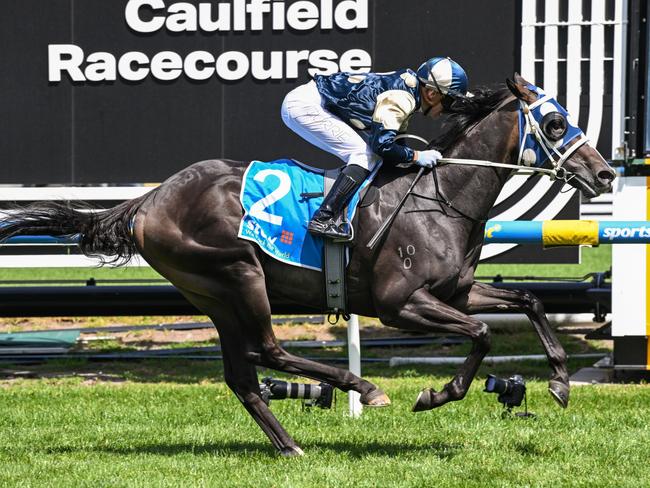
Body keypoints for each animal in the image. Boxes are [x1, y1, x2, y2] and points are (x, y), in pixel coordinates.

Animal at [1, 74, 612, 456]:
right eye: (555, 124)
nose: (605, 174)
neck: (440, 196)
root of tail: (149, 201)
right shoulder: (400, 305)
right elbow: (482, 334)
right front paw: (435, 394)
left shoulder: (454, 293)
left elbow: (528, 301)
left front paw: (559, 381)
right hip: (239, 275)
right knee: (268, 351)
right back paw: (359, 387)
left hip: (213, 295)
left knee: (243, 374)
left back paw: (290, 444)